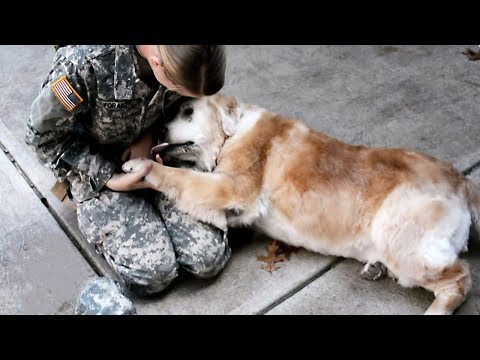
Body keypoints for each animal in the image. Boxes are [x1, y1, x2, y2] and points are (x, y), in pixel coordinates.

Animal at [124, 93, 480, 316]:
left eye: (188, 112)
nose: (159, 129)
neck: (232, 134)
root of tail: (461, 182)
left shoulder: (232, 187)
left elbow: (179, 177)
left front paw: (141, 167)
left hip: (401, 238)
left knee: (460, 278)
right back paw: (376, 267)